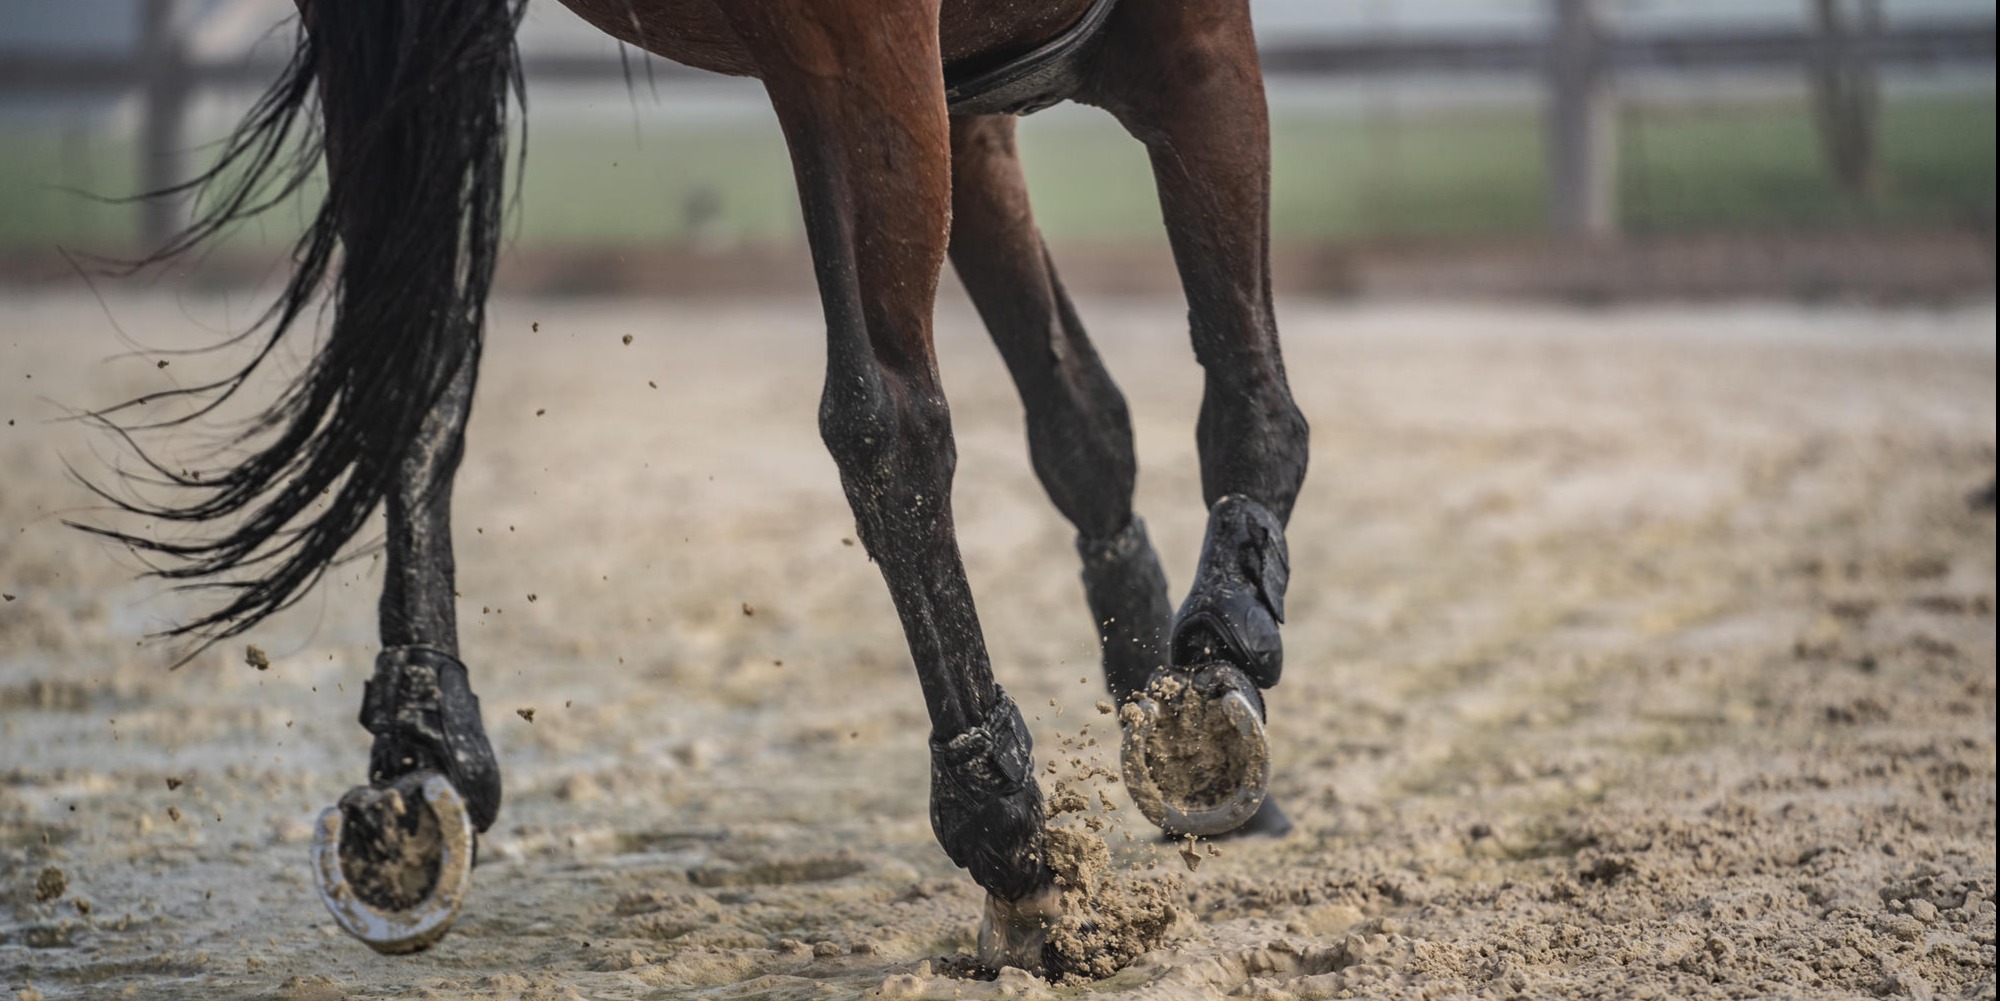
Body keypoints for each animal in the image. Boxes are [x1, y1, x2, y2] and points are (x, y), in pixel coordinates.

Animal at [86, 0, 1312, 972]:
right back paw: (1004, 830)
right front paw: (1215, 668)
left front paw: (1156, 692)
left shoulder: (968, 109)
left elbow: (1081, 421)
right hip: (859, 53)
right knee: (890, 420)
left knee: (417, 351)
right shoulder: (1189, 37)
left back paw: (421, 751)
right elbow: (1248, 391)